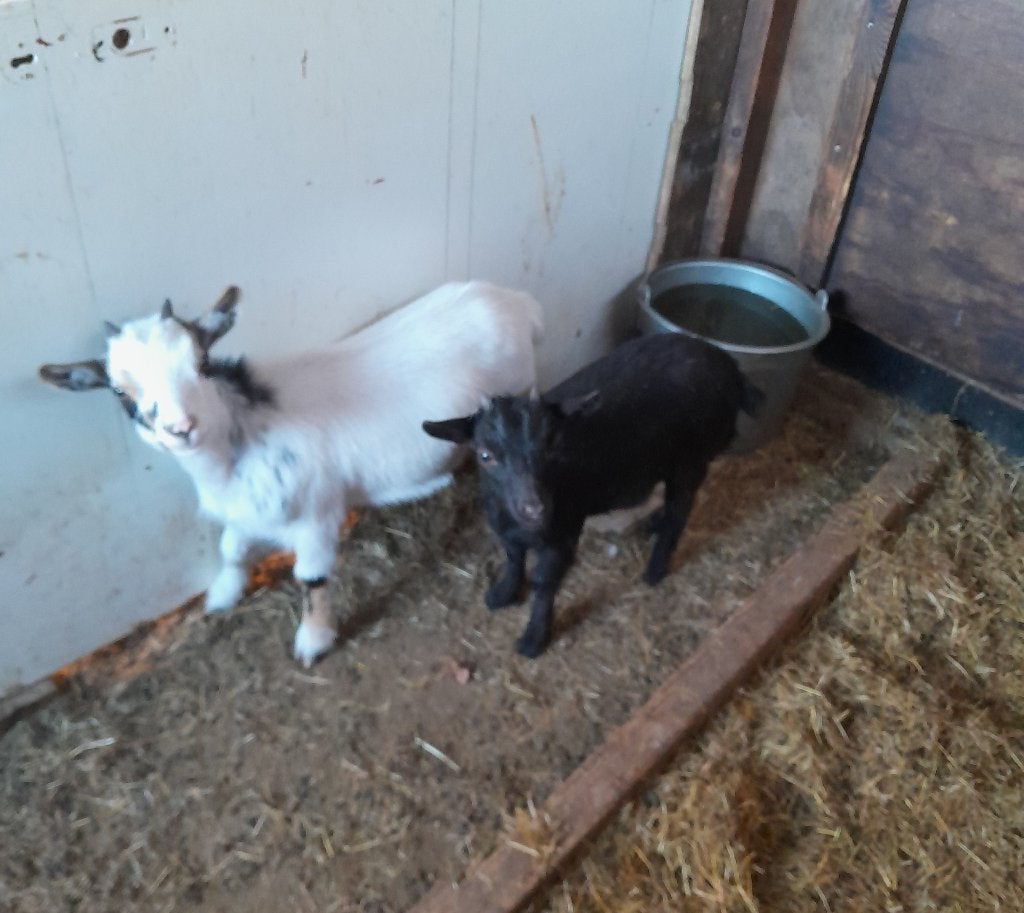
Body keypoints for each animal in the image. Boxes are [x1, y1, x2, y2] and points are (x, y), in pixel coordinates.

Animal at [39, 282, 543, 666]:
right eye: (120, 392)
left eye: (202, 364)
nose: (181, 429)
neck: (241, 436)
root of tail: (517, 301)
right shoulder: (244, 512)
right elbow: (230, 550)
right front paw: (222, 596)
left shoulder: (317, 516)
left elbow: (311, 579)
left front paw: (313, 642)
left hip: (522, 391)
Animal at [423, 332, 761, 658]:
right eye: (485, 455)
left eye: (553, 447)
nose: (535, 509)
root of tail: (732, 369)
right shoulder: (508, 530)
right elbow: (513, 558)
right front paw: (502, 594)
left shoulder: (563, 534)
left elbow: (544, 583)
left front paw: (534, 639)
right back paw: (654, 524)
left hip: (692, 459)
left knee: (681, 510)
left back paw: (655, 569)